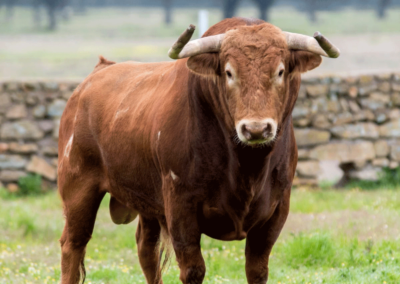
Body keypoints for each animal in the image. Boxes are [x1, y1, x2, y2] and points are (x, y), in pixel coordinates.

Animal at [57, 17, 338, 284]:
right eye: (228, 73)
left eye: (280, 71)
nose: (256, 129)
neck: (247, 167)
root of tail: (97, 73)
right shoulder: (180, 206)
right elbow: (193, 269)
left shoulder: (277, 209)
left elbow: (257, 270)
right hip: (78, 188)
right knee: (73, 244)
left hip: (146, 201)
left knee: (146, 248)